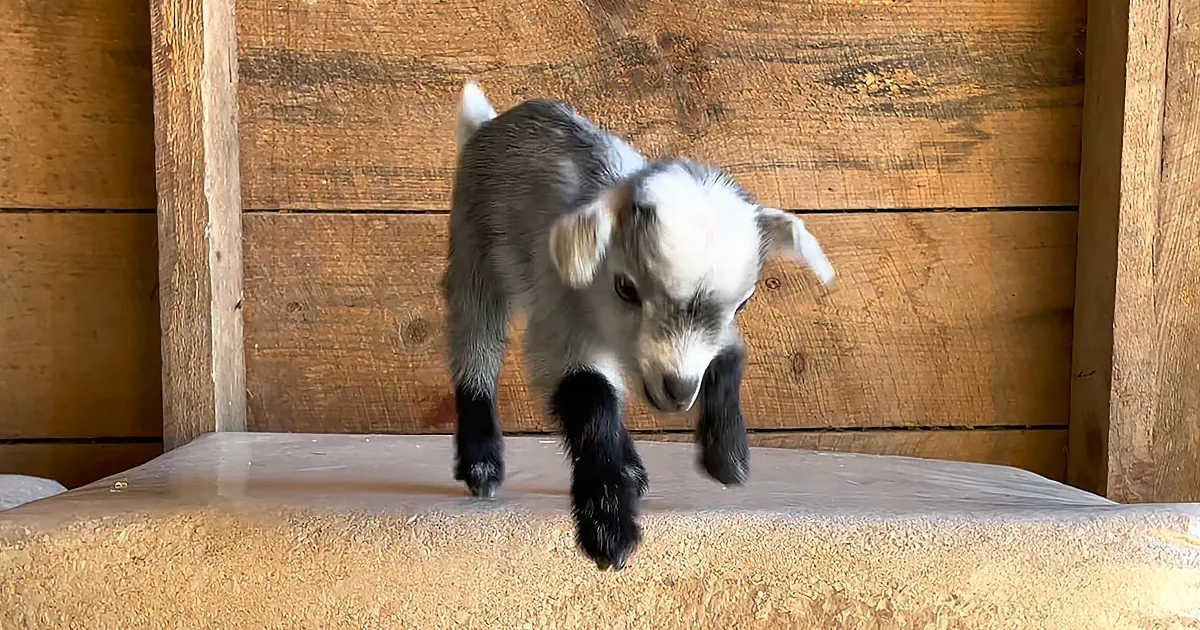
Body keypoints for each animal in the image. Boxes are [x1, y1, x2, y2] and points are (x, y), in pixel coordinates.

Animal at [442, 81, 834, 570]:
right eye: (625, 287)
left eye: (744, 303)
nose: (679, 390)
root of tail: (489, 122)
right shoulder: (560, 314)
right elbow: (589, 398)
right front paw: (609, 528)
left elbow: (729, 352)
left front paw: (727, 456)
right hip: (474, 252)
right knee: (474, 347)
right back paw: (482, 463)